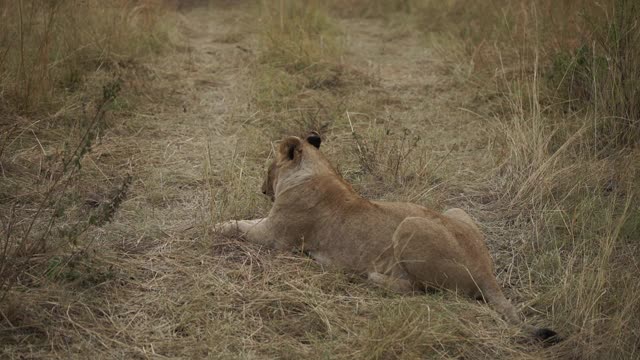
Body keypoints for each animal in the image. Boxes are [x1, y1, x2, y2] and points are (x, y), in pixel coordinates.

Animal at [219, 131, 560, 344]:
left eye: (269, 169)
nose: (263, 190)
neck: (319, 170)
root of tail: (486, 271)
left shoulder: (275, 236)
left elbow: (239, 225)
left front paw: (215, 226)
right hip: (455, 210)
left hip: (411, 225)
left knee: (423, 292)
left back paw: (373, 277)